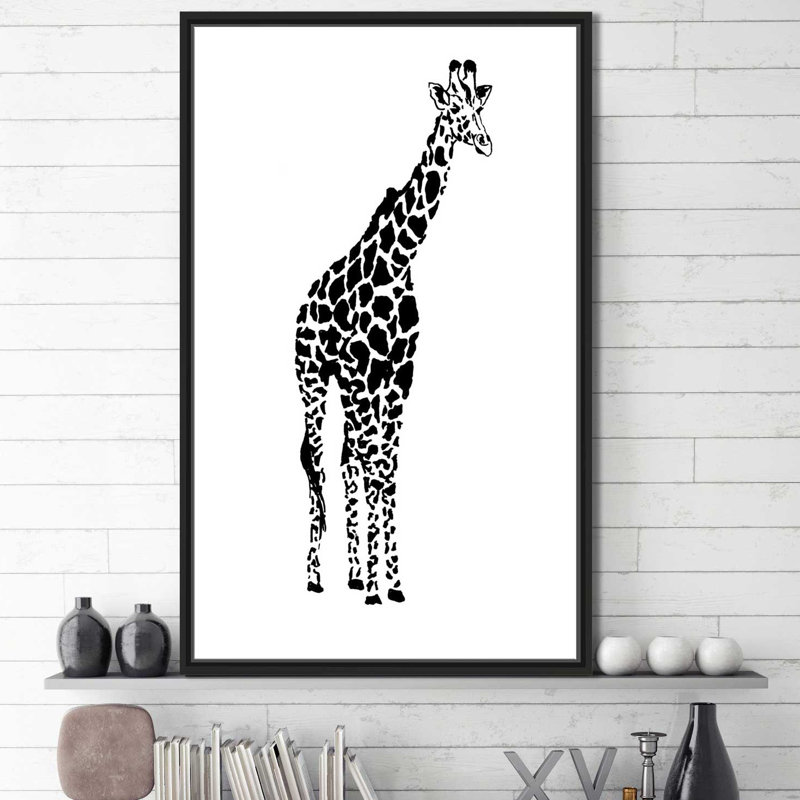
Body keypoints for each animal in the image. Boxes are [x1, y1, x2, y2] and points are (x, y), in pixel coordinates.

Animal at [294, 59, 493, 605]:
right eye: (452, 108)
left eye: (479, 105)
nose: (485, 141)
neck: (399, 262)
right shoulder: (364, 373)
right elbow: (374, 466)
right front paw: (375, 588)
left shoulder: (398, 375)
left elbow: (388, 470)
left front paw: (392, 583)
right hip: (314, 381)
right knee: (320, 463)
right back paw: (316, 577)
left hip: (345, 386)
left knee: (346, 460)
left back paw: (352, 573)